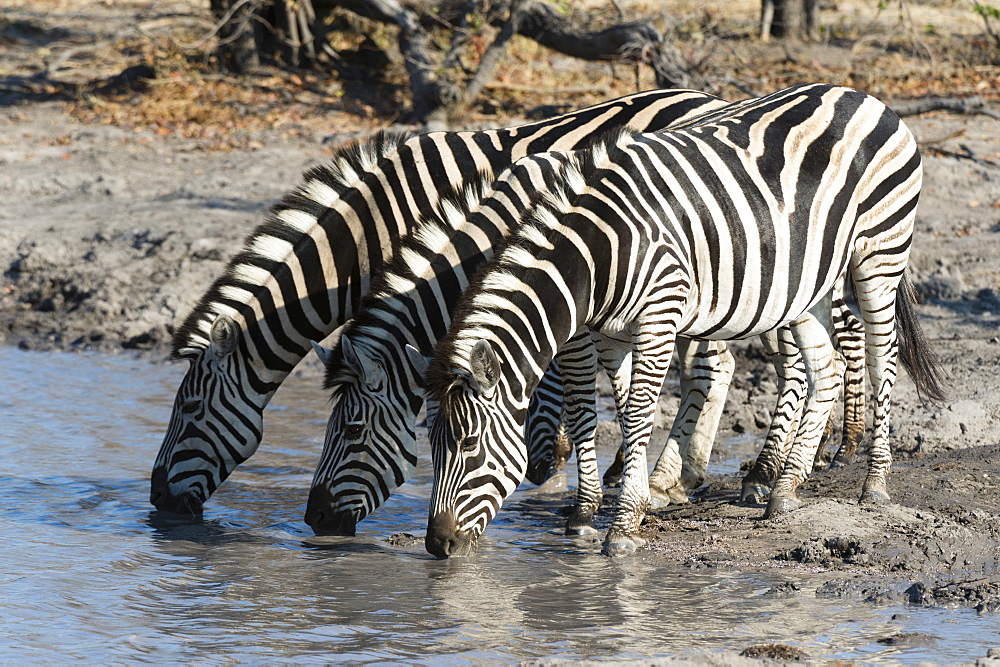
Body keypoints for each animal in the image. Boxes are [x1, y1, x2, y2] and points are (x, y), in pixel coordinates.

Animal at [146, 87, 736, 516]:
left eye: (189, 410)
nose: (156, 500)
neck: (367, 235)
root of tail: (707, 96)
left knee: (713, 361)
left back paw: (680, 476)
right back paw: (681, 472)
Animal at [422, 86, 944, 560]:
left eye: (469, 445)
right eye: (431, 445)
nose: (437, 545)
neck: (596, 256)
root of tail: (861, 95)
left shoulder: (658, 316)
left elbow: (636, 413)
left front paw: (624, 524)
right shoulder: (608, 332)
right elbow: (612, 410)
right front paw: (618, 505)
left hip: (880, 253)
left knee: (882, 355)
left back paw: (874, 482)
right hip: (809, 285)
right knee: (826, 370)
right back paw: (784, 491)